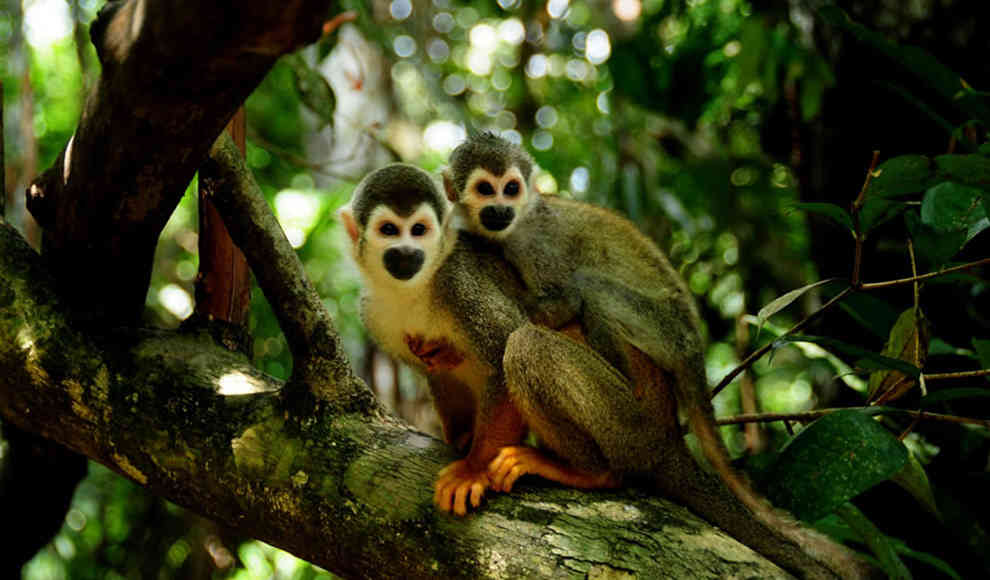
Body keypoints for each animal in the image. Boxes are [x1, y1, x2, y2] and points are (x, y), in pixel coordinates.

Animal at [442, 133, 876, 580]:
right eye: (485, 189)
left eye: (510, 188)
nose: (500, 210)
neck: (518, 223)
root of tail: (695, 350)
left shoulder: (535, 246)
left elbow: (564, 302)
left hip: (663, 330)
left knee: (589, 289)